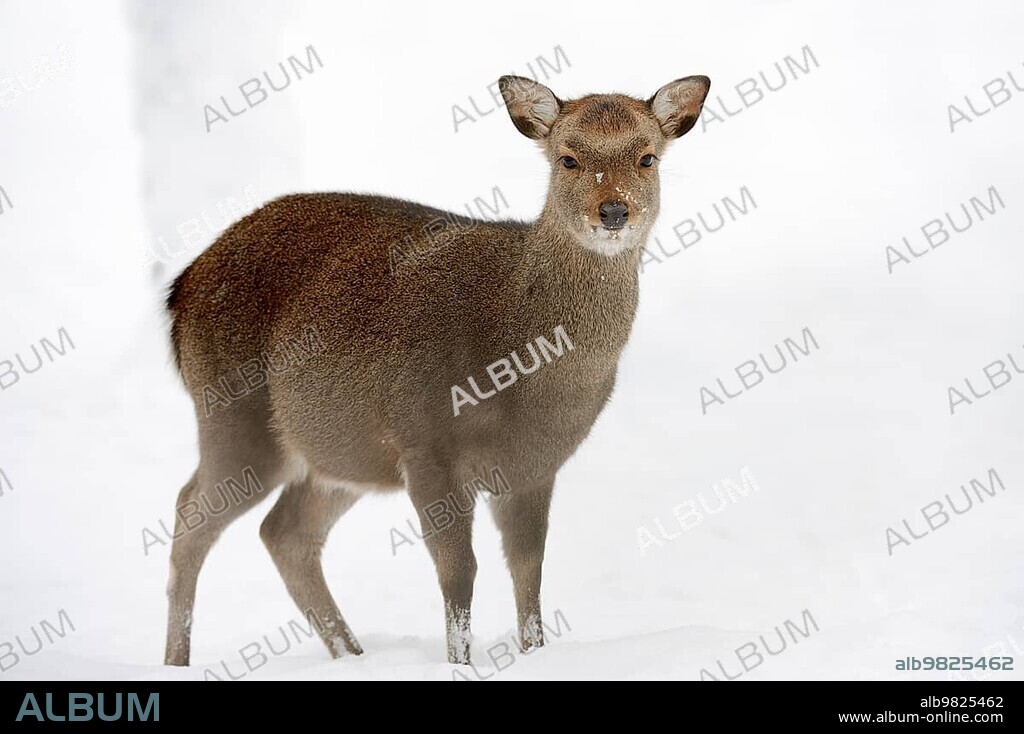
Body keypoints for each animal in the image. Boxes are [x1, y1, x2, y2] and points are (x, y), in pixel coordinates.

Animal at [163, 73, 710, 667]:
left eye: (647, 157)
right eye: (567, 157)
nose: (613, 211)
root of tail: (182, 288)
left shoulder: (536, 463)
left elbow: (529, 571)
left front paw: (535, 653)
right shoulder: (426, 443)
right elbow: (458, 571)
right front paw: (460, 663)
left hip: (340, 448)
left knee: (283, 532)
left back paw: (353, 655)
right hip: (233, 415)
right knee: (190, 514)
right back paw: (177, 660)